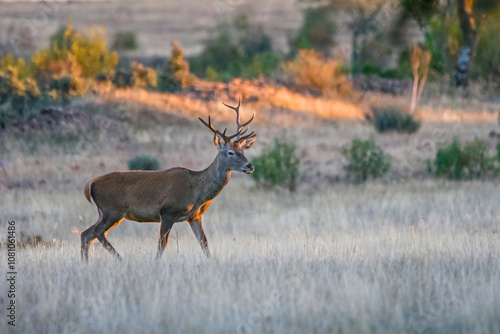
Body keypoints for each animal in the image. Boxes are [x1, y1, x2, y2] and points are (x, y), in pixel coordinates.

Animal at [81, 99, 258, 260]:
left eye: (243, 150)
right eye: (230, 152)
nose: (250, 166)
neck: (197, 192)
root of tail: (90, 184)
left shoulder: (195, 217)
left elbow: (205, 244)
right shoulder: (167, 211)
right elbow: (162, 245)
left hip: (105, 212)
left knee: (86, 234)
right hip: (113, 209)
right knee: (97, 233)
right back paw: (121, 259)